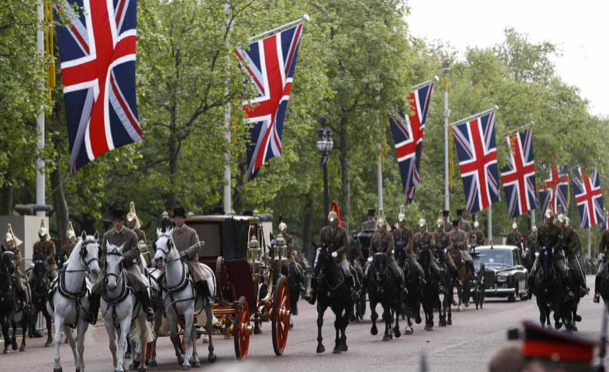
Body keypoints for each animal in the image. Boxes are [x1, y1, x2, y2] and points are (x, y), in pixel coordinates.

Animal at [48, 232, 101, 372]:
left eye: (98, 250)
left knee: (76, 342)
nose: (96, 271)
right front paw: (57, 365)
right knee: (71, 342)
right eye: (84, 251)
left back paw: (78, 364)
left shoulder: (82, 321)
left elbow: (81, 345)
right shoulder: (59, 318)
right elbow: (58, 339)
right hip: (66, 324)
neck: (73, 291)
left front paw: (81, 366)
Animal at [100, 244, 151, 372]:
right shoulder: (108, 321)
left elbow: (122, 343)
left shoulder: (125, 320)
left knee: (142, 337)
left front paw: (119, 367)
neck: (114, 296)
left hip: (142, 317)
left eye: (120, 263)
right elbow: (113, 345)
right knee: (131, 341)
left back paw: (142, 365)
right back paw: (132, 363)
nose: (111, 285)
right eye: (106, 262)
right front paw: (117, 365)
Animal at [152, 228, 216, 370]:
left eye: (169, 243)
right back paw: (196, 359)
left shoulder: (188, 310)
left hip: (206, 307)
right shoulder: (171, 313)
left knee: (208, 328)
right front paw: (182, 359)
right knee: (192, 332)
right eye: (156, 243)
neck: (175, 283)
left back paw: (210, 354)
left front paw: (186, 362)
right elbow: (174, 336)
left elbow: (186, 337)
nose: (158, 259)